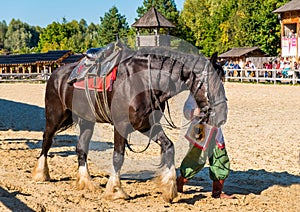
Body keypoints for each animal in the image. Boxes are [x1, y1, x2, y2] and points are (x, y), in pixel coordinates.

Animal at [32, 44, 227, 203]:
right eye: (211, 82)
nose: (221, 115)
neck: (144, 82)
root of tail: (56, 74)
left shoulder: (147, 125)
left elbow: (169, 146)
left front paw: (169, 189)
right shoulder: (121, 125)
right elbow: (118, 156)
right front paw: (115, 191)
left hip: (87, 121)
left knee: (81, 149)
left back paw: (86, 182)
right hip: (54, 116)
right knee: (47, 140)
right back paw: (41, 174)